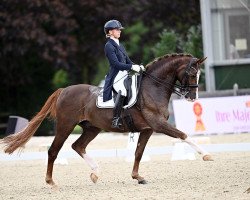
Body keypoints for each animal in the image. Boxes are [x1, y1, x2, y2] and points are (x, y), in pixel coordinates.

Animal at [0, 52, 213, 188]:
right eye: (192, 73)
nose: (192, 97)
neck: (152, 87)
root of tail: (64, 90)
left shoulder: (147, 129)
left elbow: (138, 153)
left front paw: (138, 177)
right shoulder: (158, 125)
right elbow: (183, 135)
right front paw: (206, 155)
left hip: (91, 128)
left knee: (78, 146)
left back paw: (95, 172)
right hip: (65, 126)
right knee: (53, 150)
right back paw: (51, 182)